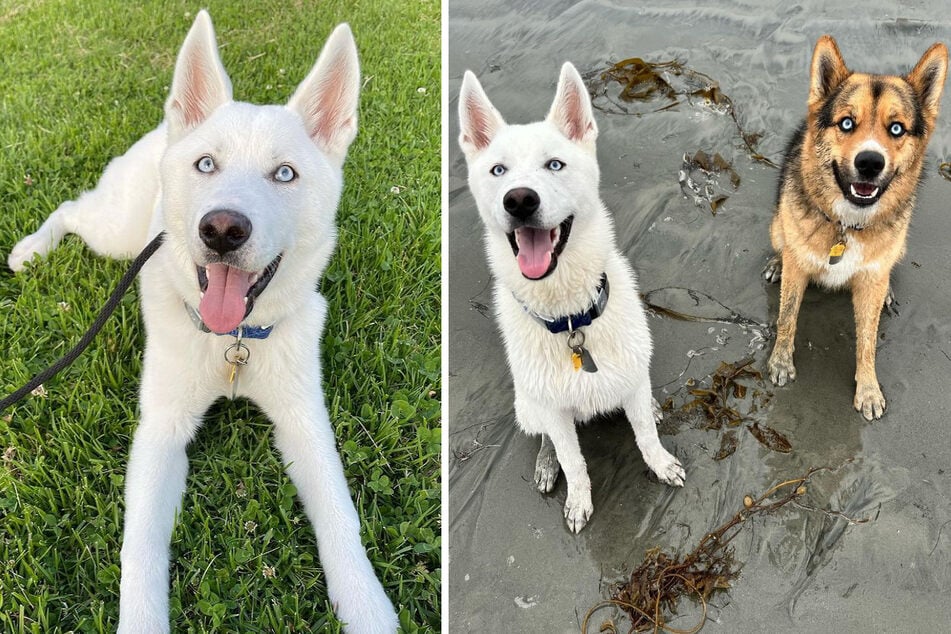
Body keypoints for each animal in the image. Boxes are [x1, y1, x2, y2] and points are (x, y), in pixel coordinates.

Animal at [8, 11, 394, 632]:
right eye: (207, 164)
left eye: (285, 174)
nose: (222, 230)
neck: (231, 343)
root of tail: (163, 129)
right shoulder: (161, 431)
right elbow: (140, 547)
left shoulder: (305, 422)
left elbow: (341, 515)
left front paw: (366, 605)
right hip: (116, 233)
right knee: (70, 209)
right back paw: (31, 250)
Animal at [460, 64, 684, 532]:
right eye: (498, 170)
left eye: (555, 164)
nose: (519, 200)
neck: (570, 320)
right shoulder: (555, 414)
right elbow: (573, 460)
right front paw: (578, 498)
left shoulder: (631, 382)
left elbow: (646, 435)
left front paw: (659, 462)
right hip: (530, 406)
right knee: (547, 437)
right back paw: (546, 464)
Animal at [768, 37, 948, 418]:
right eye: (847, 123)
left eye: (896, 128)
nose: (869, 162)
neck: (847, 225)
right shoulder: (798, 269)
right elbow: (787, 316)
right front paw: (780, 362)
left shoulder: (869, 283)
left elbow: (867, 340)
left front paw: (867, 388)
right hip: (777, 226)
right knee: (783, 245)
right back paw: (777, 262)